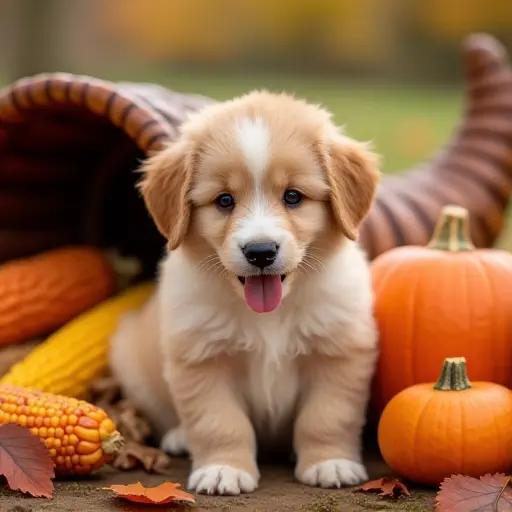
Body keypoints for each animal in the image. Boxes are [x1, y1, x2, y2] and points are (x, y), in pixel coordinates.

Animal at [108, 89, 380, 496]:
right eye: (224, 200)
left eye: (293, 196)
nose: (260, 252)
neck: (270, 315)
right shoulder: (201, 358)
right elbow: (219, 421)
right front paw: (223, 470)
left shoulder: (339, 352)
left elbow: (327, 415)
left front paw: (330, 462)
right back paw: (179, 436)